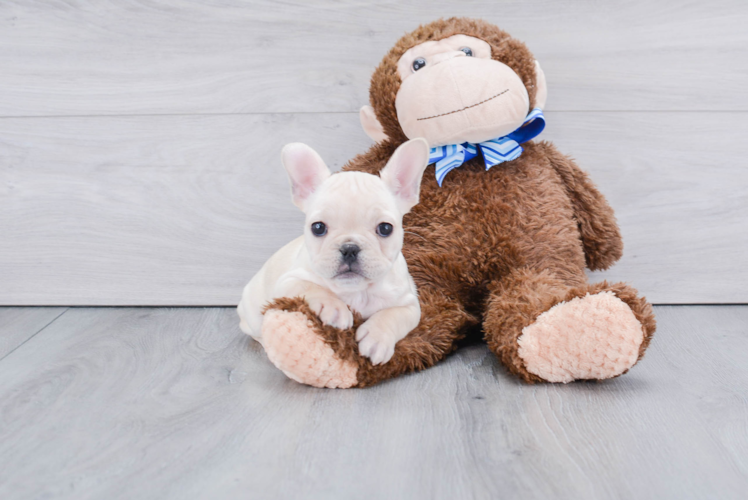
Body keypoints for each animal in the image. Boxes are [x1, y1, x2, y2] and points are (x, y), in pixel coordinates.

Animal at [237, 137, 430, 364]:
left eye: (385, 228)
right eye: (318, 228)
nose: (349, 248)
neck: (357, 291)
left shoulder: (410, 304)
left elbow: (394, 315)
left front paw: (377, 336)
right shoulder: (288, 281)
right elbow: (311, 287)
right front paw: (334, 307)